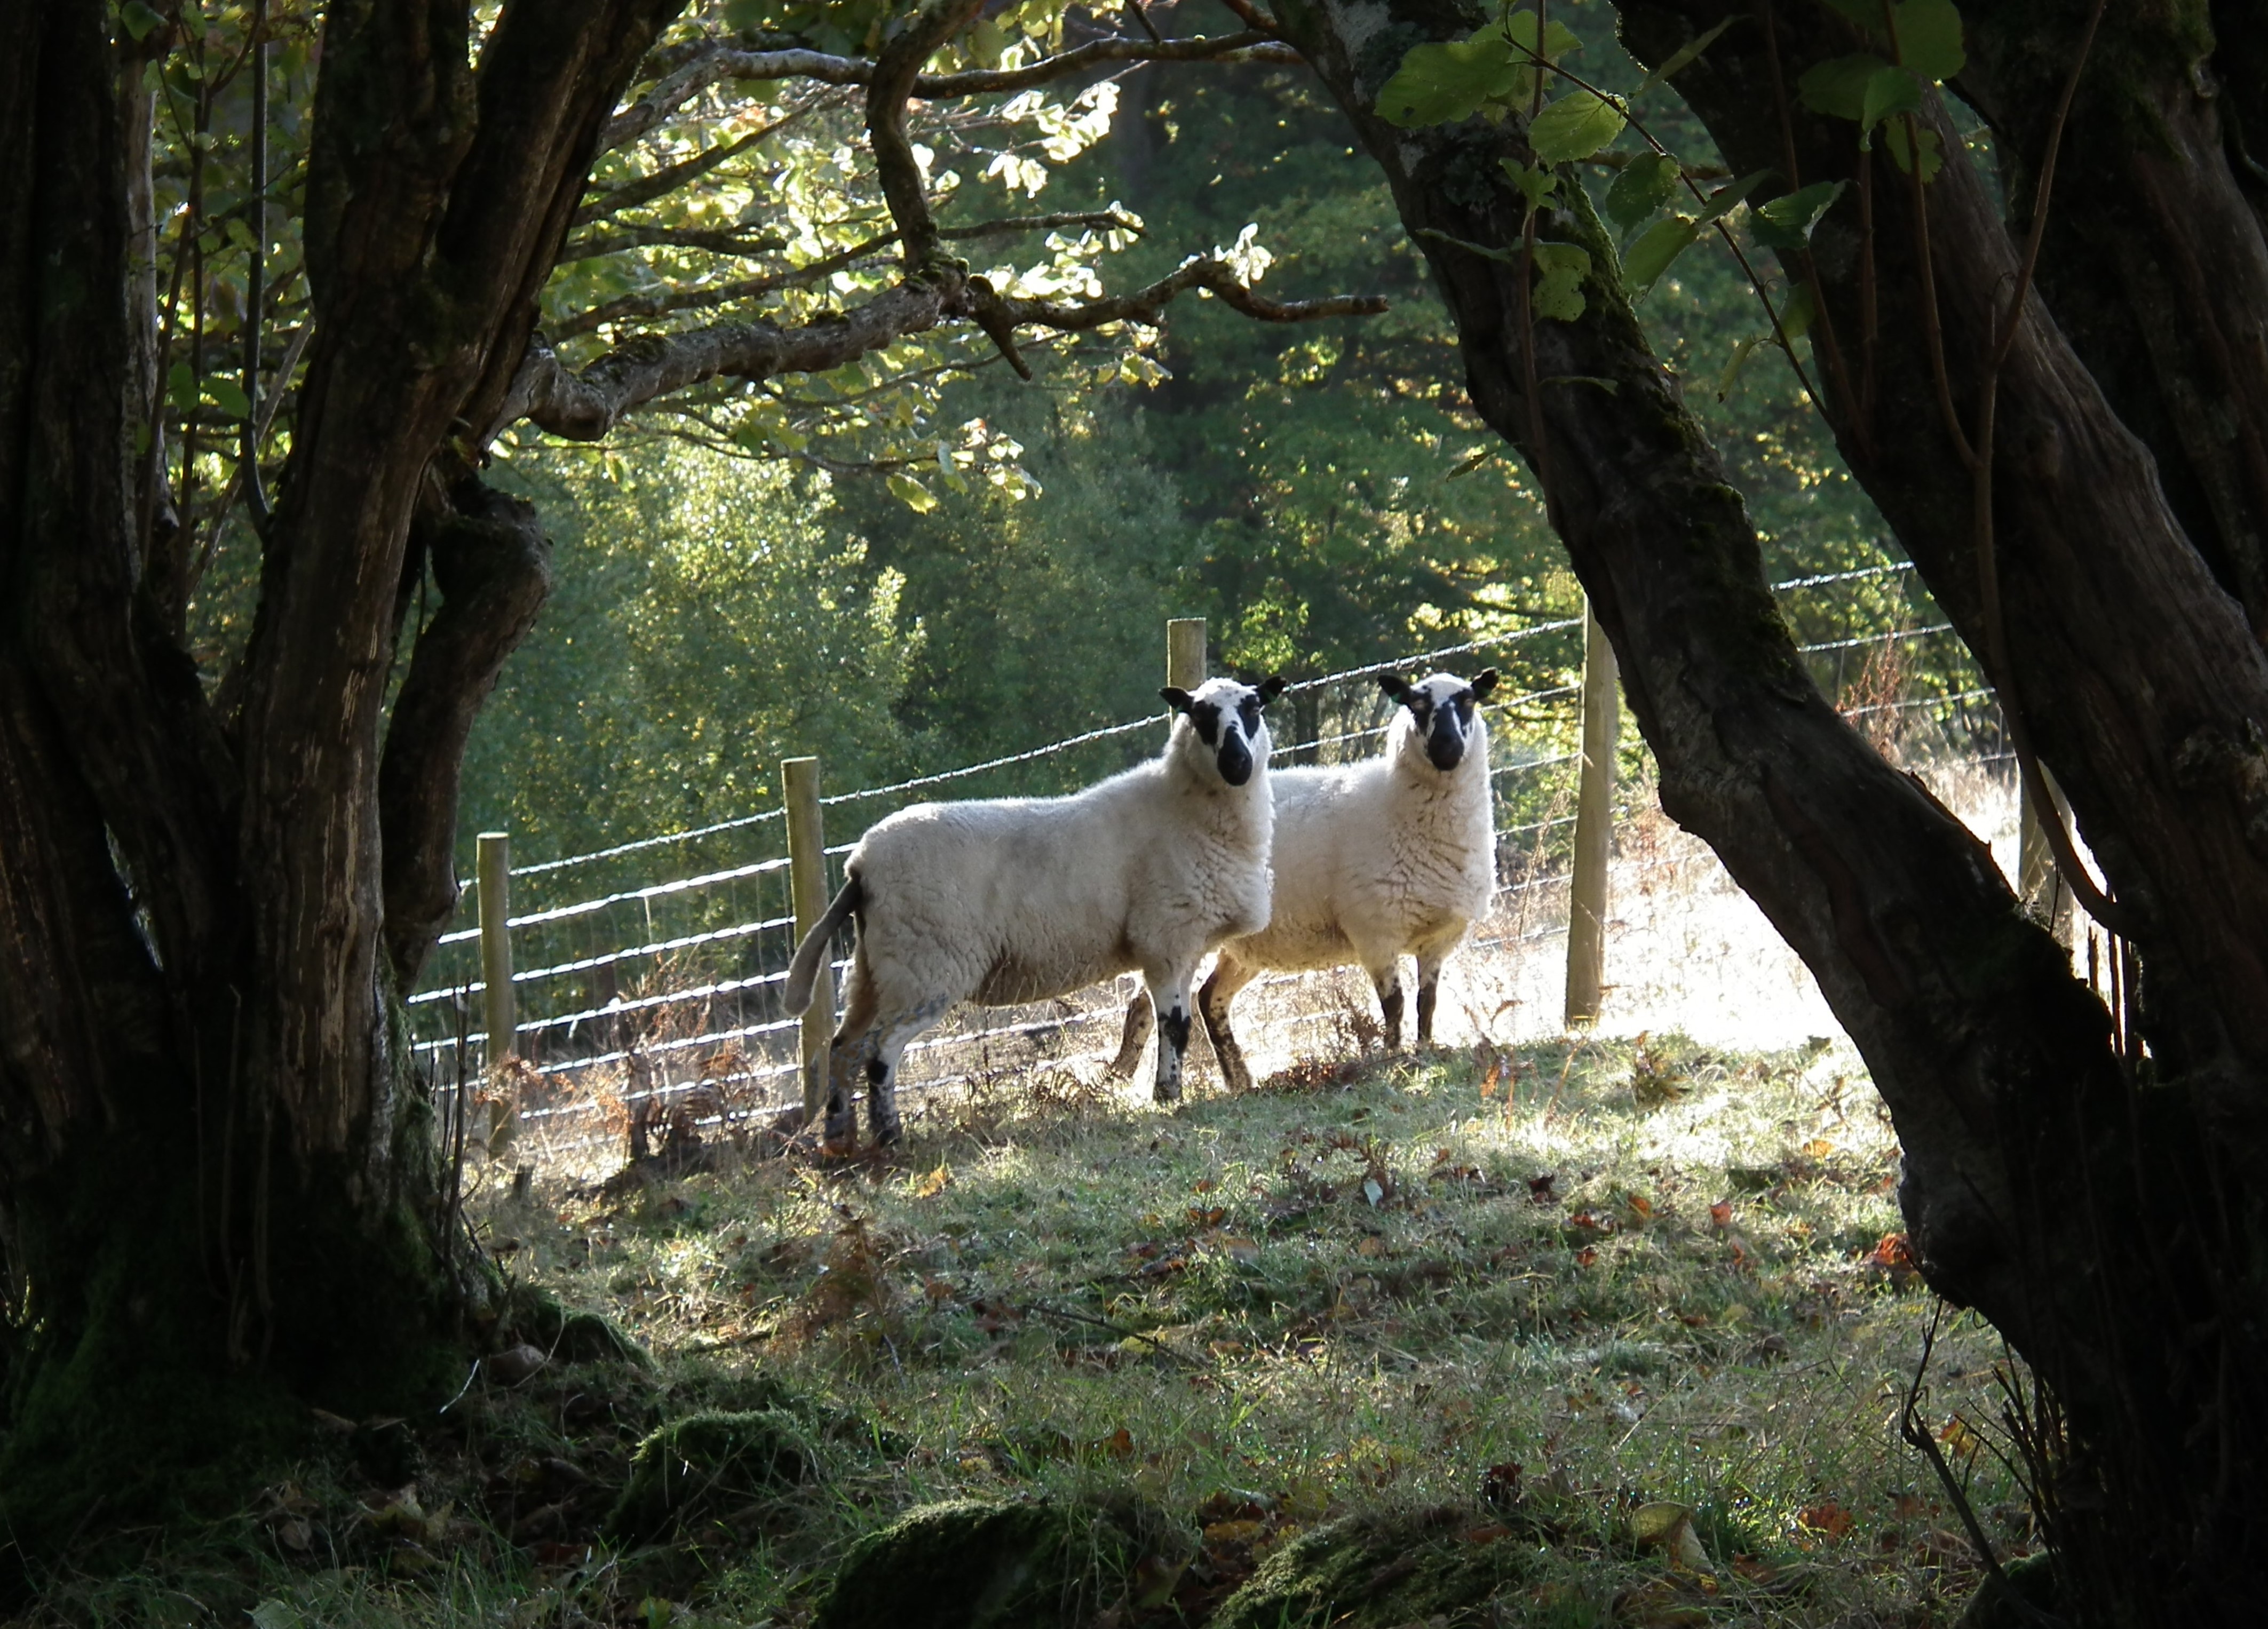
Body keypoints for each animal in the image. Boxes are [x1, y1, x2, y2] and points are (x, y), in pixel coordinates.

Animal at [784, 671, 1288, 1148]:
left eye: (1255, 708)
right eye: (1200, 715)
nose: (1237, 763)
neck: (1187, 808)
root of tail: (860, 865)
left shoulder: (1186, 944)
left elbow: (1176, 1024)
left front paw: (1170, 1092)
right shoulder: (1164, 937)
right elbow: (1174, 1024)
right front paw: (1166, 1095)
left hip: (874, 968)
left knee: (843, 1047)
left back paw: (839, 1138)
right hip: (925, 964)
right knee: (880, 1052)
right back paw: (888, 1136)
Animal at [1107, 662, 1497, 1098]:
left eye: (1469, 700)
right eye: (1416, 704)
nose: (1447, 746)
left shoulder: (1439, 938)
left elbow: (1426, 1003)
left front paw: (1425, 1050)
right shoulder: (1374, 932)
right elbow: (1394, 1004)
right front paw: (1392, 1058)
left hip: (1244, 944)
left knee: (1207, 998)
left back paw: (1238, 1081)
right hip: (1183, 929)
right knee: (1148, 1003)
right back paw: (1121, 1080)